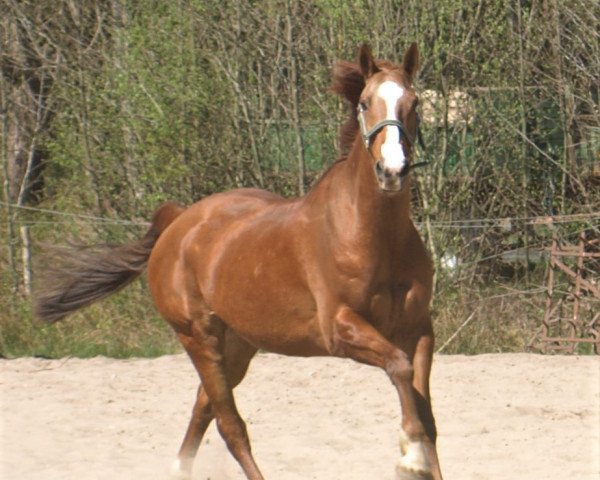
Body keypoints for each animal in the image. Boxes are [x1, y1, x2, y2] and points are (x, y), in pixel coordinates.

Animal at [35, 43, 442, 478]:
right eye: (365, 103)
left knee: (203, 409)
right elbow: (399, 369)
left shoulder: (418, 329)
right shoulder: (340, 328)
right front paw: (410, 457)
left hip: (238, 345)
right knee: (229, 425)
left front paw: (419, 455)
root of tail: (179, 221)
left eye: (415, 103)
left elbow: (426, 414)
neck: (372, 236)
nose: (392, 170)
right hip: (198, 337)